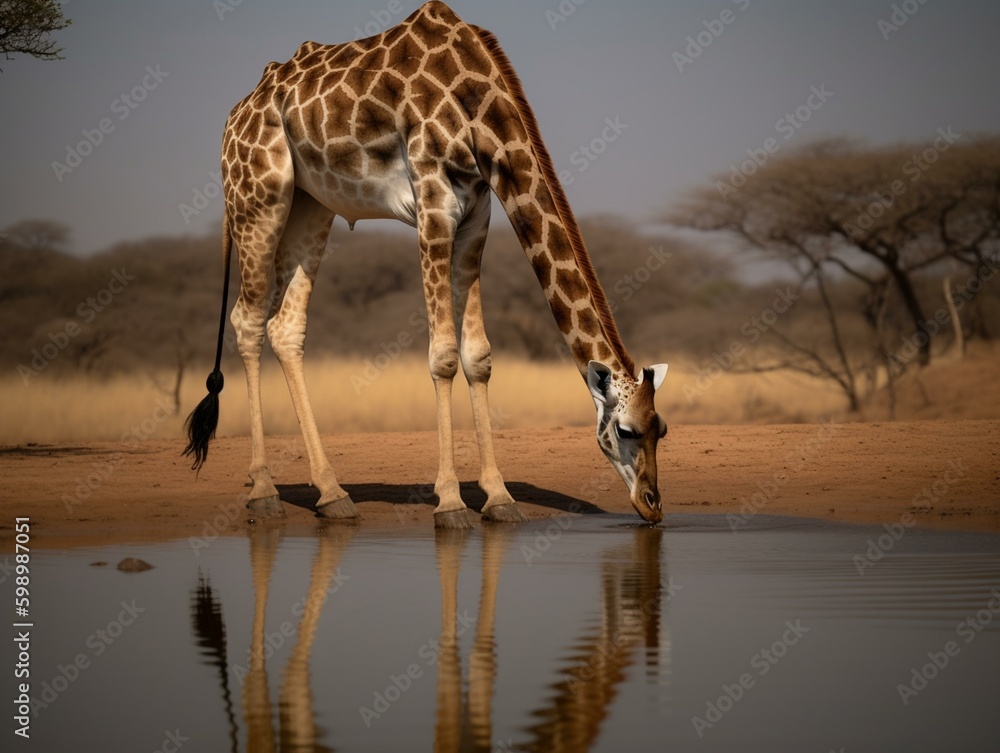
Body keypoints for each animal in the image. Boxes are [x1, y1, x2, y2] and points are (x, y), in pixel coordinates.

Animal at [183, 1, 669, 528]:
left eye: (661, 428)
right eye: (626, 430)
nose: (652, 505)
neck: (478, 107)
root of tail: (237, 114)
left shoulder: (476, 218)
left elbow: (479, 358)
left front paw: (498, 496)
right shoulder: (433, 208)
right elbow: (444, 357)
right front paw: (451, 502)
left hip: (310, 205)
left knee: (285, 326)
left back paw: (332, 494)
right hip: (259, 198)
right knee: (247, 320)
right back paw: (264, 489)